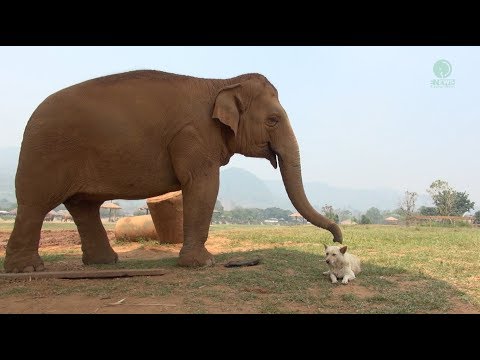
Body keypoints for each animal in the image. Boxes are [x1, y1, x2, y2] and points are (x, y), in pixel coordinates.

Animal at [3, 70, 342, 272]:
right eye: (273, 120)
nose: (337, 240)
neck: (221, 81)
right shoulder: (193, 136)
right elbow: (204, 186)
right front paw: (203, 264)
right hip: (45, 154)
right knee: (35, 204)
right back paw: (28, 270)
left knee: (84, 207)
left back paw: (104, 263)